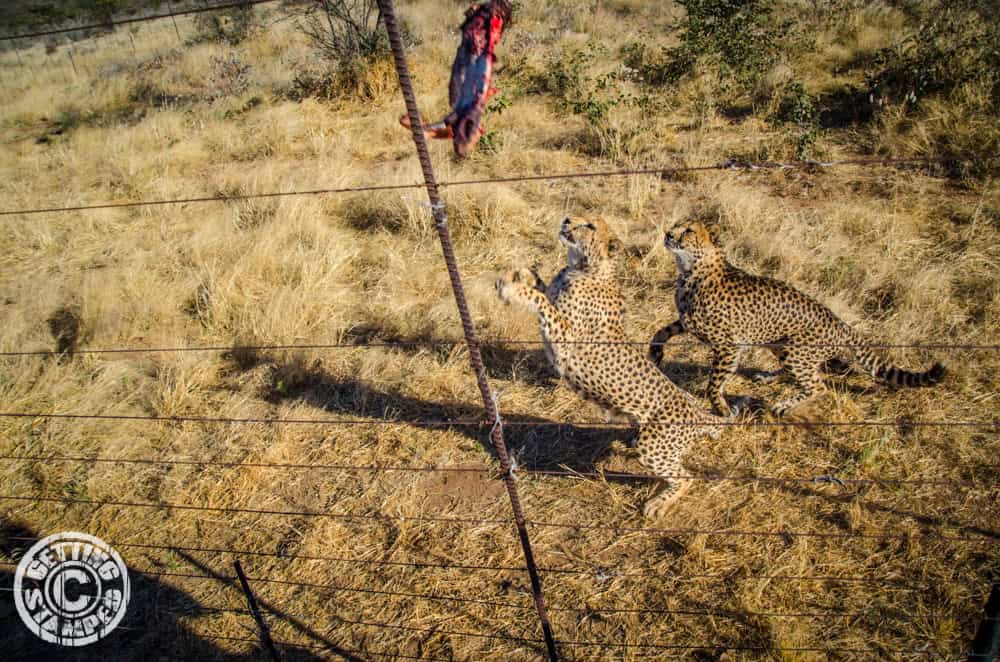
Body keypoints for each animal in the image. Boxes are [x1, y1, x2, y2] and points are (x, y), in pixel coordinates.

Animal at [494, 218, 724, 520]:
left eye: (590, 225)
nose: (567, 219)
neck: (584, 267)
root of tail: (698, 413)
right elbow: (544, 289)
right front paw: (521, 274)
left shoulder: (566, 341)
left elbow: (543, 303)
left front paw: (515, 289)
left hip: (653, 446)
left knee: (686, 477)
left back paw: (658, 504)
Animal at [648, 226, 944, 418]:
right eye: (677, 226)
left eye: (688, 230)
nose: (668, 234)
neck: (691, 270)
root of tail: (841, 323)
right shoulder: (689, 322)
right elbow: (663, 329)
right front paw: (655, 351)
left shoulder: (728, 346)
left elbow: (713, 383)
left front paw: (721, 408)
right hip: (781, 344)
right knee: (812, 373)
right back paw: (769, 377)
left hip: (795, 350)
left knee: (817, 385)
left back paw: (783, 405)